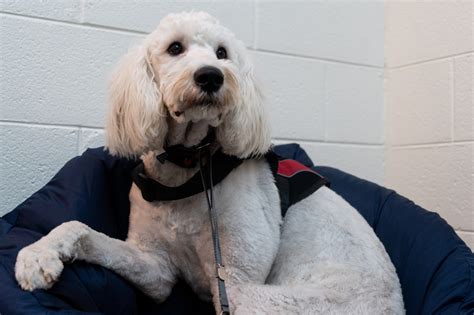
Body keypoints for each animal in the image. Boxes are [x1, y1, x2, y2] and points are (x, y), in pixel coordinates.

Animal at [16, 11, 406, 314]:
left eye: (222, 53)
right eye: (175, 47)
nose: (211, 75)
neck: (189, 165)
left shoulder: (233, 281)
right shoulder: (155, 267)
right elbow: (79, 227)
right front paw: (38, 255)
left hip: (262, 302)